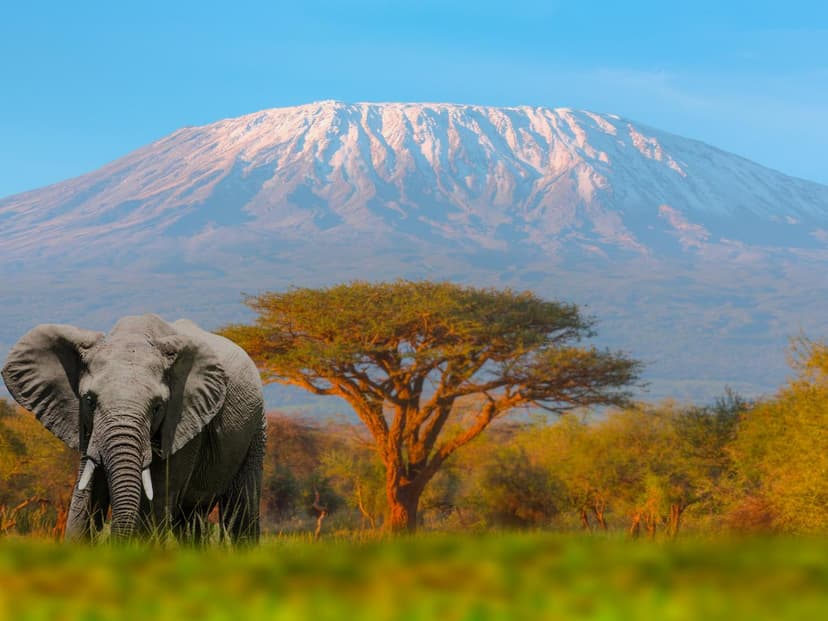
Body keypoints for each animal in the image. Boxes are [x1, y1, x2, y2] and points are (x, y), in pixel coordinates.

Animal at [1, 314, 265, 544]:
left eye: (158, 407)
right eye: (89, 400)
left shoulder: (183, 425)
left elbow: (155, 502)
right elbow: (84, 500)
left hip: (256, 425)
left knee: (241, 510)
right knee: (190, 521)